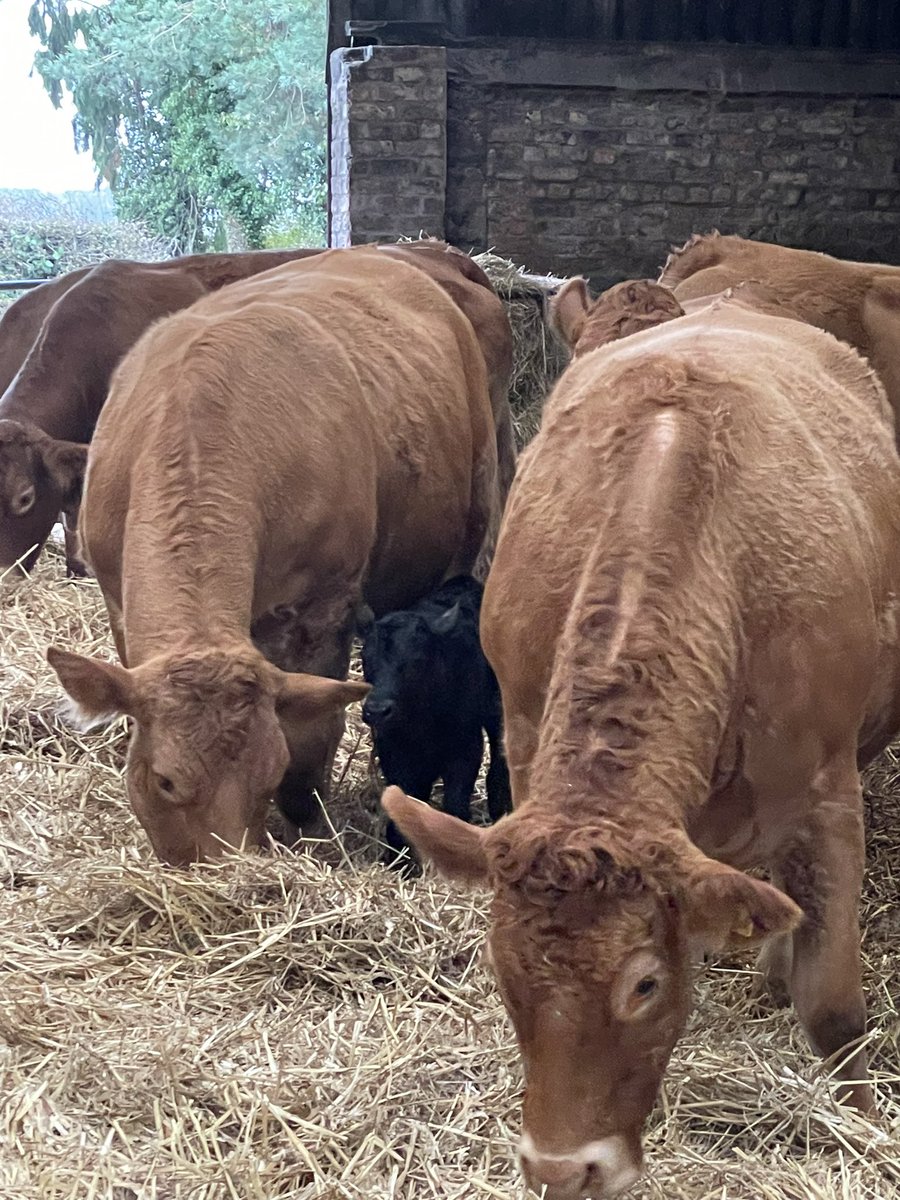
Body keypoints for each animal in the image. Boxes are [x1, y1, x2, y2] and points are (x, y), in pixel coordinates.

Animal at [360, 575, 511, 866]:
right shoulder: (392, 752)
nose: (377, 710)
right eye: (365, 658)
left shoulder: (465, 749)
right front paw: (400, 861)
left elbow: (455, 805)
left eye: (415, 661)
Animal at [384, 277, 900, 1199]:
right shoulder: (524, 747)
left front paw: (866, 1126)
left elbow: (835, 1001)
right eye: (504, 973)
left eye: (645, 985)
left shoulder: (825, 786)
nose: (562, 1168)